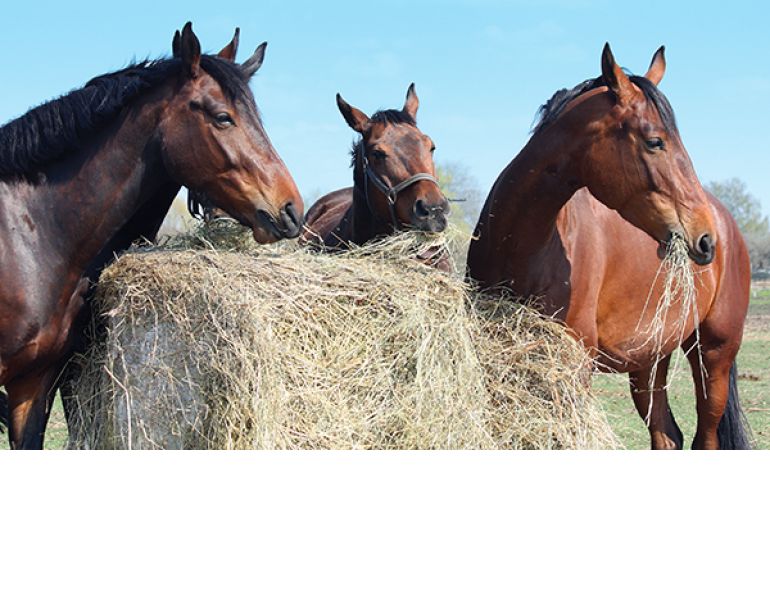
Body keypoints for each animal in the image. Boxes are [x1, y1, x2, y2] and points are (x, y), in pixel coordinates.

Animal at [467, 44, 752, 449]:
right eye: (655, 141)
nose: (705, 237)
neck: (523, 247)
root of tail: (727, 222)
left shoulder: (574, 369)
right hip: (650, 360)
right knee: (667, 434)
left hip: (713, 355)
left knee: (706, 437)